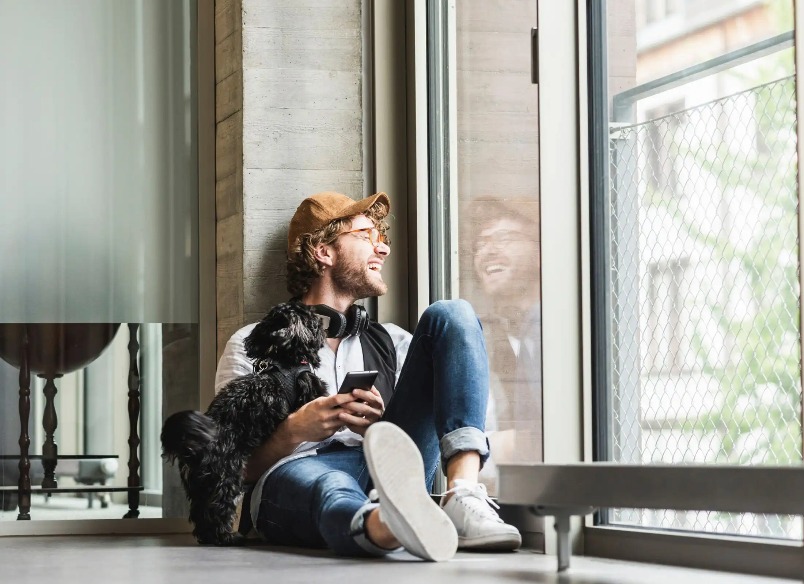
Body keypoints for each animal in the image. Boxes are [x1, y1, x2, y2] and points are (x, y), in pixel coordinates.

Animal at [162, 302, 328, 548]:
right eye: (309, 317)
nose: (321, 320)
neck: (282, 360)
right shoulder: (311, 390)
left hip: (199, 485)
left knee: (200, 514)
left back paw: (209, 538)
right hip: (226, 477)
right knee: (217, 510)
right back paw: (227, 537)